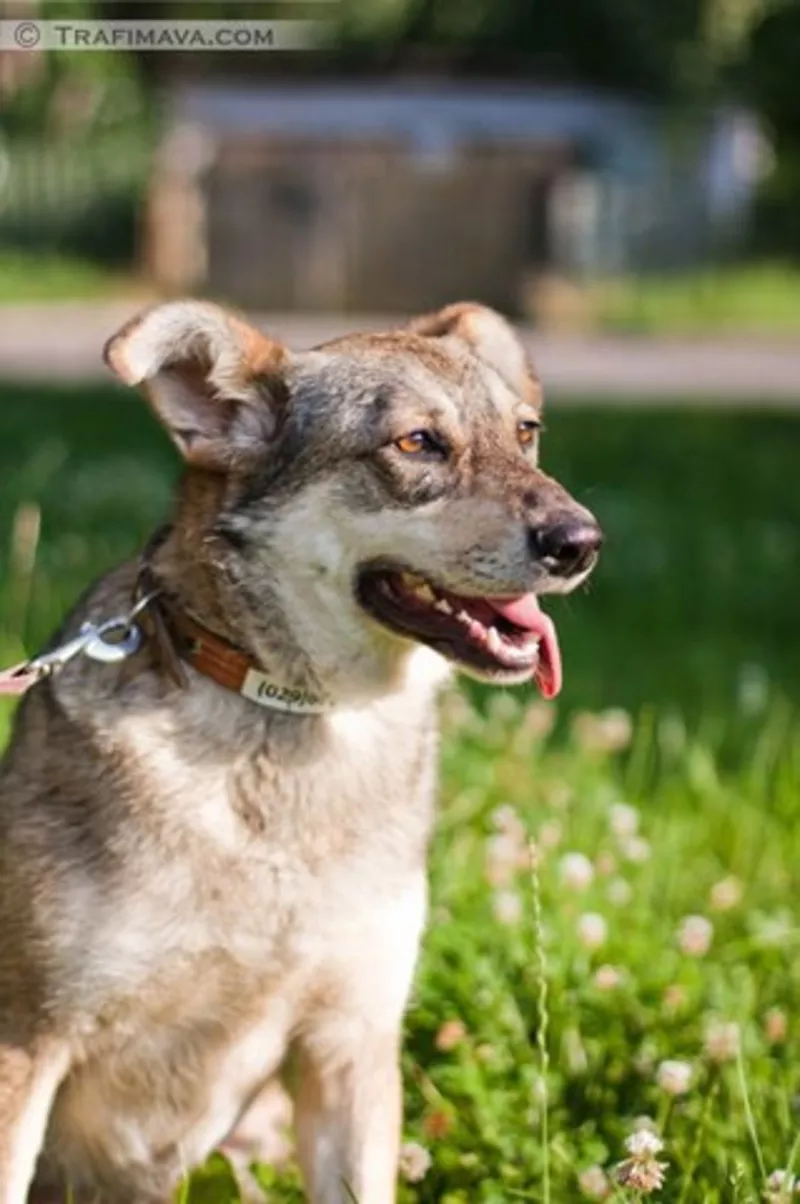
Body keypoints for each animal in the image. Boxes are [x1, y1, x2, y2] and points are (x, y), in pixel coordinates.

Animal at [0, 293, 600, 1204]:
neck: (293, 721)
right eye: (417, 443)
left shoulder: (349, 1045)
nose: (581, 542)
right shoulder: (28, 1044)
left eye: (526, 432)